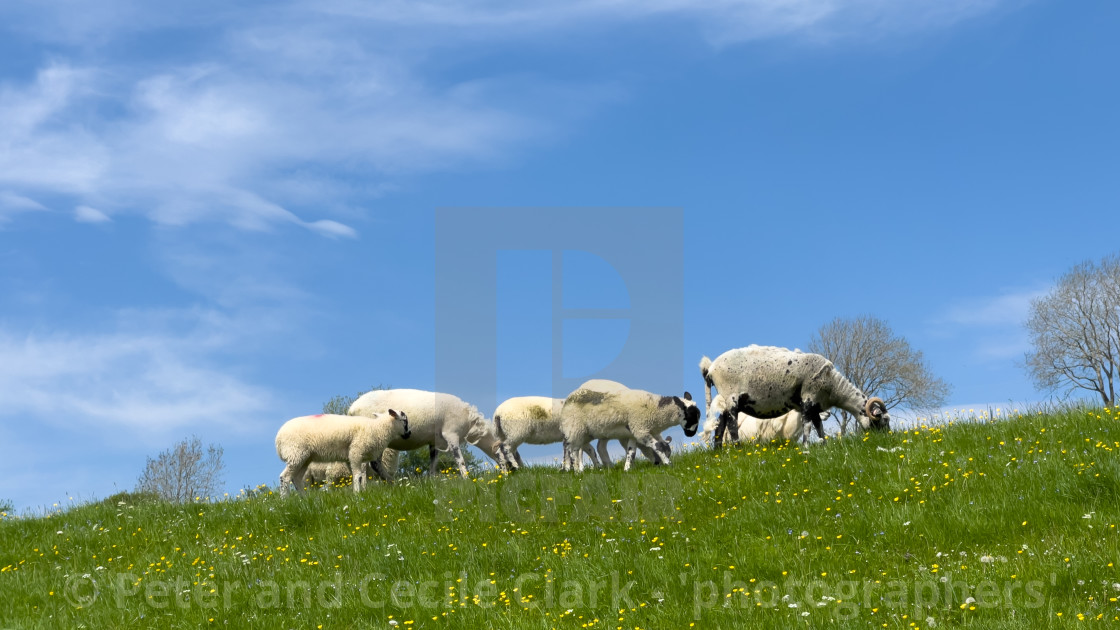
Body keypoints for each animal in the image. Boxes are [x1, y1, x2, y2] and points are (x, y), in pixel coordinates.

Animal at [276, 408, 412, 495]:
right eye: (405, 420)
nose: (409, 434)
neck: (377, 429)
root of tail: (278, 439)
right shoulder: (356, 452)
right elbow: (358, 476)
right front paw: (357, 495)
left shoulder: (350, 458)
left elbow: (358, 476)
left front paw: (358, 493)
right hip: (296, 454)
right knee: (285, 478)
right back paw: (285, 501)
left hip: (304, 459)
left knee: (296, 479)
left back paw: (305, 500)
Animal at [347, 387, 512, 475]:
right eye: (504, 453)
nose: (511, 473)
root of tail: (351, 409)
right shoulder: (451, 434)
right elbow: (460, 460)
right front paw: (467, 478)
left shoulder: (435, 441)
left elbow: (433, 462)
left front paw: (432, 480)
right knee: (373, 464)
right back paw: (390, 482)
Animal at [555, 376, 694, 470]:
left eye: (669, 453)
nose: (658, 464)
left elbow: (630, 449)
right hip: (580, 427)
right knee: (577, 447)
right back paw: (577, 467)